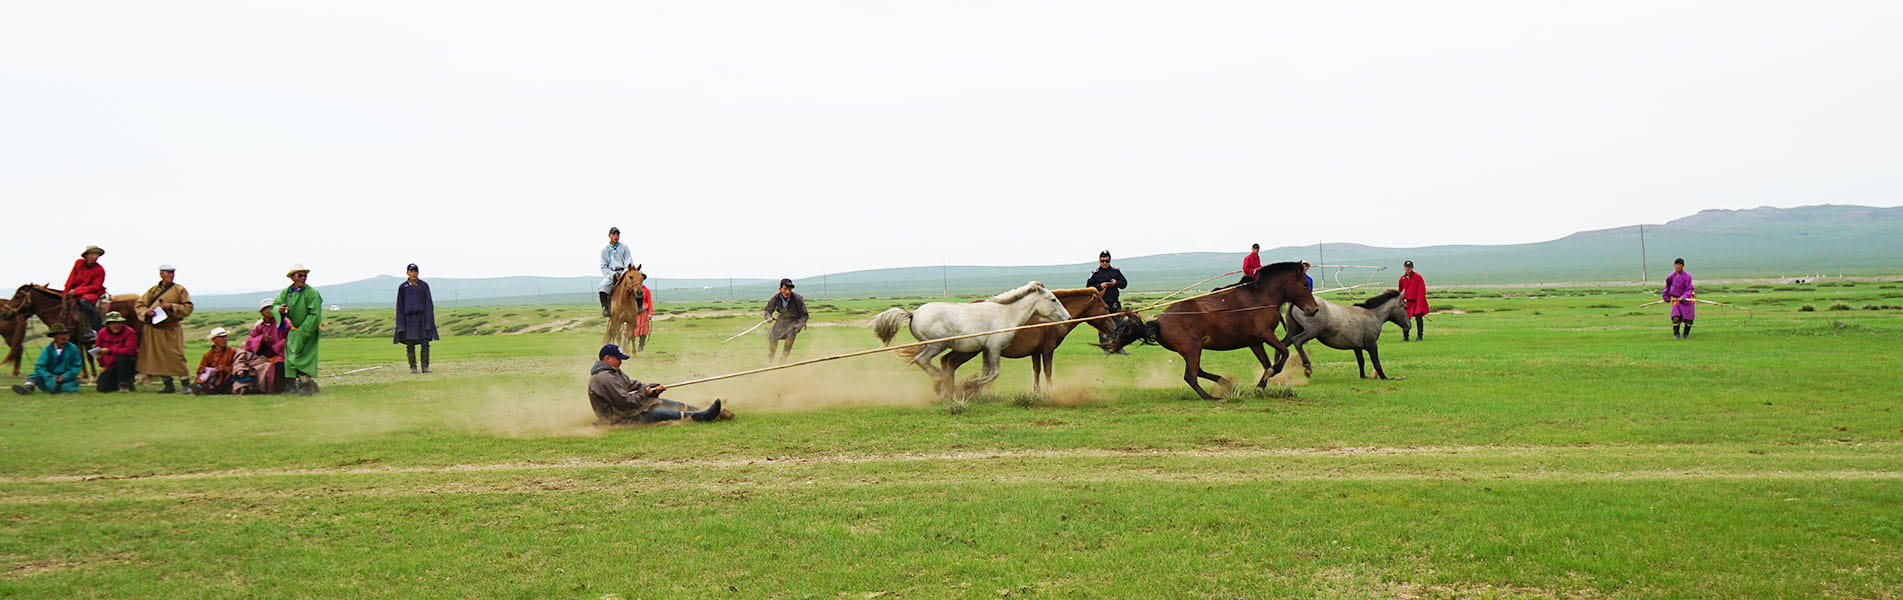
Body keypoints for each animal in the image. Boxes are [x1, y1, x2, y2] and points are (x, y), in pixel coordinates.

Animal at [871, 283, 1073, 400]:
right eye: (1053, 299)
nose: (1068, 317)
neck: (1006, 314)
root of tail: (913, 313)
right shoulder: (994, 348)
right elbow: (995, 373)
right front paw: (970, 385)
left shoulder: (986, 349)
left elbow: (986, 371)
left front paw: (975, 389)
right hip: (937, 345)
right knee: (922, 360)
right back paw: (939, 382)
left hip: (931, 345)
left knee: (923, 360)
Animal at [936, 287, 1126, 392]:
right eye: (1105, 307)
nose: (1114, 328)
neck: (1052, 316)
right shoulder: (1048, 350)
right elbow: (1048, 371)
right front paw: (1050, 392)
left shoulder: (1035, 352)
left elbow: (1037, 371)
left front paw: (1037, 392)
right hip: (969, 350)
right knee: (950, 363)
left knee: (946, 361)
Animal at [1111, 262, 1316, 400]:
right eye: (1305, 283)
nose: (1313, 309)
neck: (1260, 298)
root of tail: (1159, 320)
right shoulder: (1265, 335)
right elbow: (1283, 353)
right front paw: (1272, 374)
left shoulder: (1255, 342)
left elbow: (1267, 363)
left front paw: (1260, 386)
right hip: (1192, 348)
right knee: (1191, 376)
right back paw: (1212, 397)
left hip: (1191, 350)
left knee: (1198, 371)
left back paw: (1224, 381)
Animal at [1278, 289, 1415, 379]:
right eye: (1405, 307)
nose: (1409, 325)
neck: (1373, 315)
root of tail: (1294, 303)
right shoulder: (1372, 345)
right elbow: (1376, 361)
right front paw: (1384, 377)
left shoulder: (1357, 347)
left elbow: (1361, 361)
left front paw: (1363, 376)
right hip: (1311, 331)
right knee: (1297, 341)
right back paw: (1307, 368)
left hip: (1292, 331)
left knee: (1281, 345)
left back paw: (1275, 369)